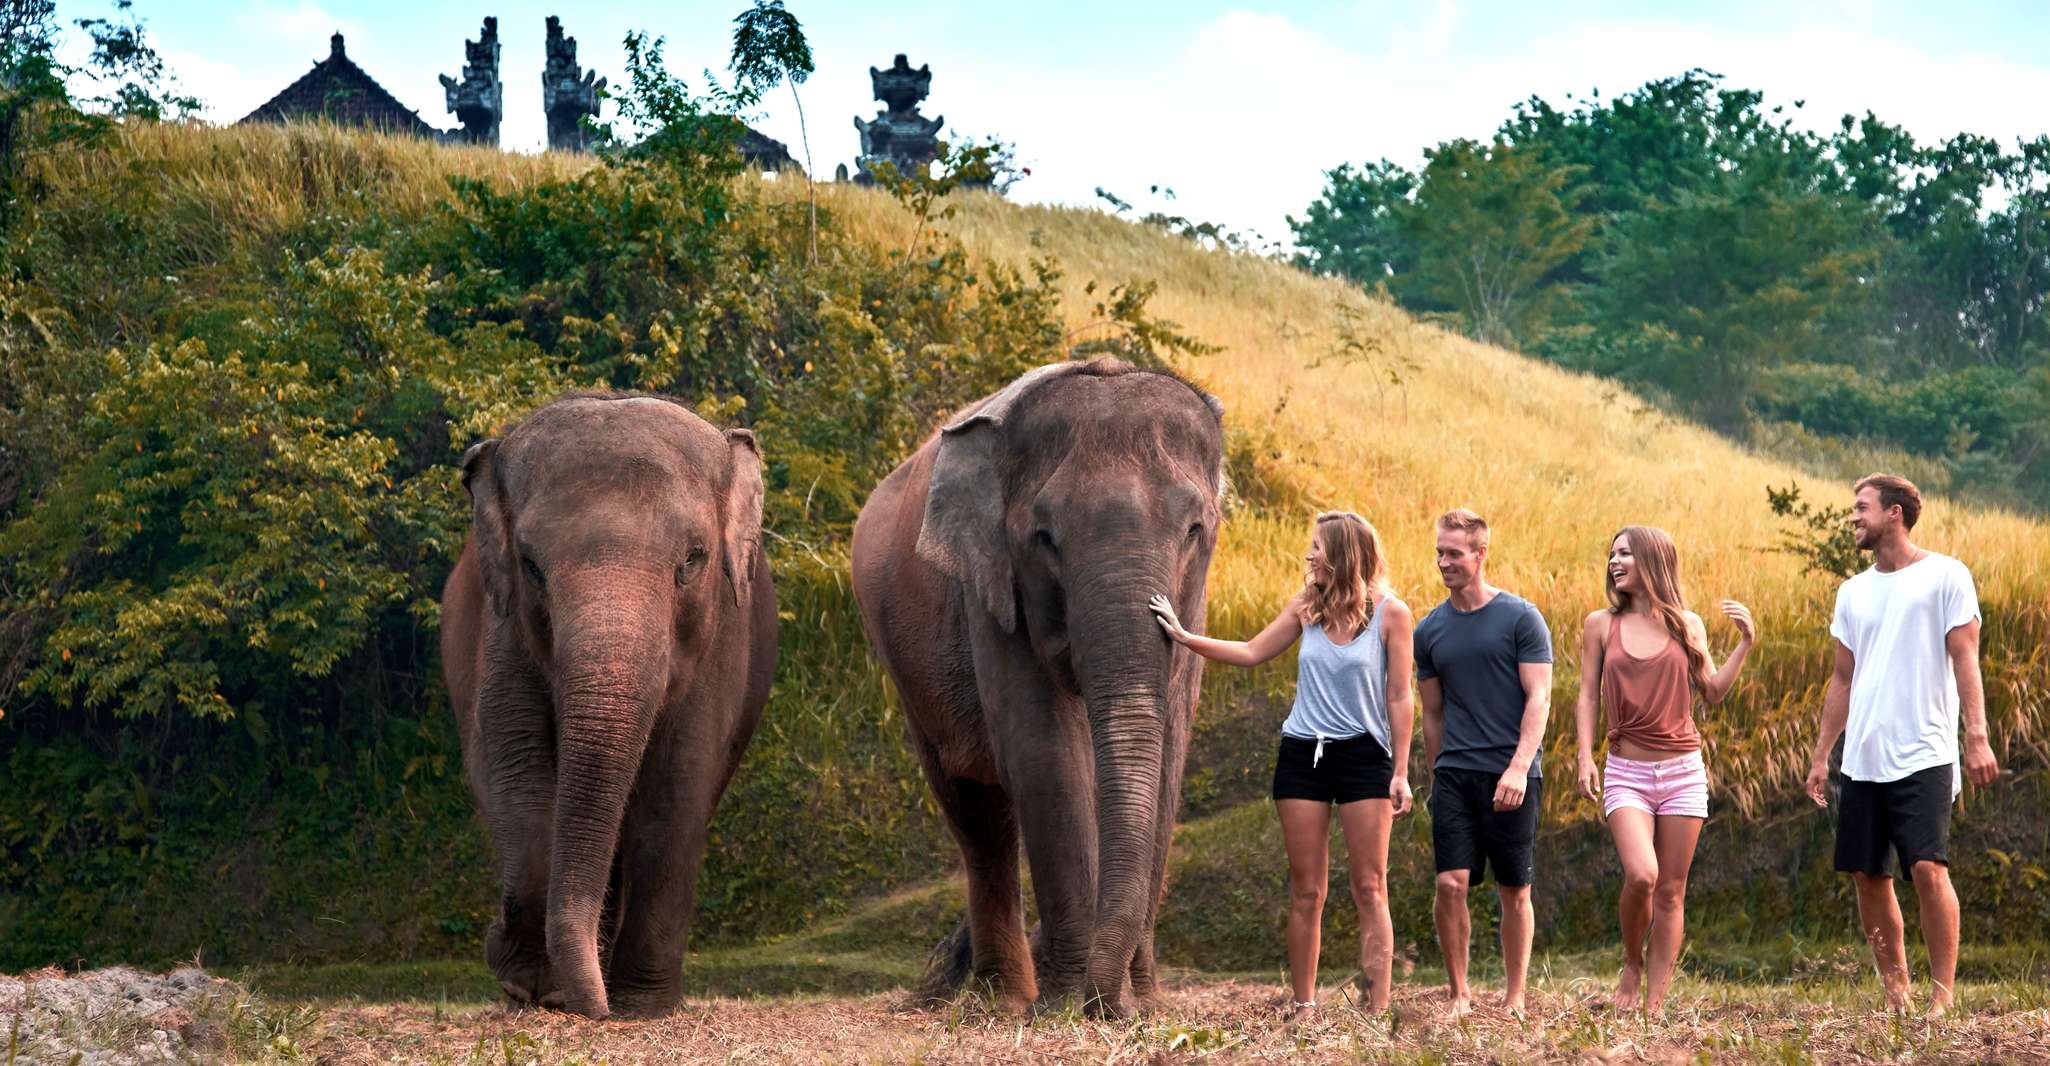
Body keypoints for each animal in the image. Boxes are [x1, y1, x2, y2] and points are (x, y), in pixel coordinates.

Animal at [440, 391, 777, 1019]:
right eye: (530, 565)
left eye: (692, 560)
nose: (595, 1009)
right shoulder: (502, 630)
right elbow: (513, 768)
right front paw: (531, 985)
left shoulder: (725, 635)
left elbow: (677, 785)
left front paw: (642, 1006)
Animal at [850, 358, 1226, 1018]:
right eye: (1045, 537)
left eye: (1193, 529)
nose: (1110, 1005)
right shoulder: (992, 590)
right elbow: (1045, 753)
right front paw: (1068, 1005)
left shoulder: (1194, 604)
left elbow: (1169, 756)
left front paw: (1145, 1007)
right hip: (903, 660)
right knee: (976, 811)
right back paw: (1003, 1000)